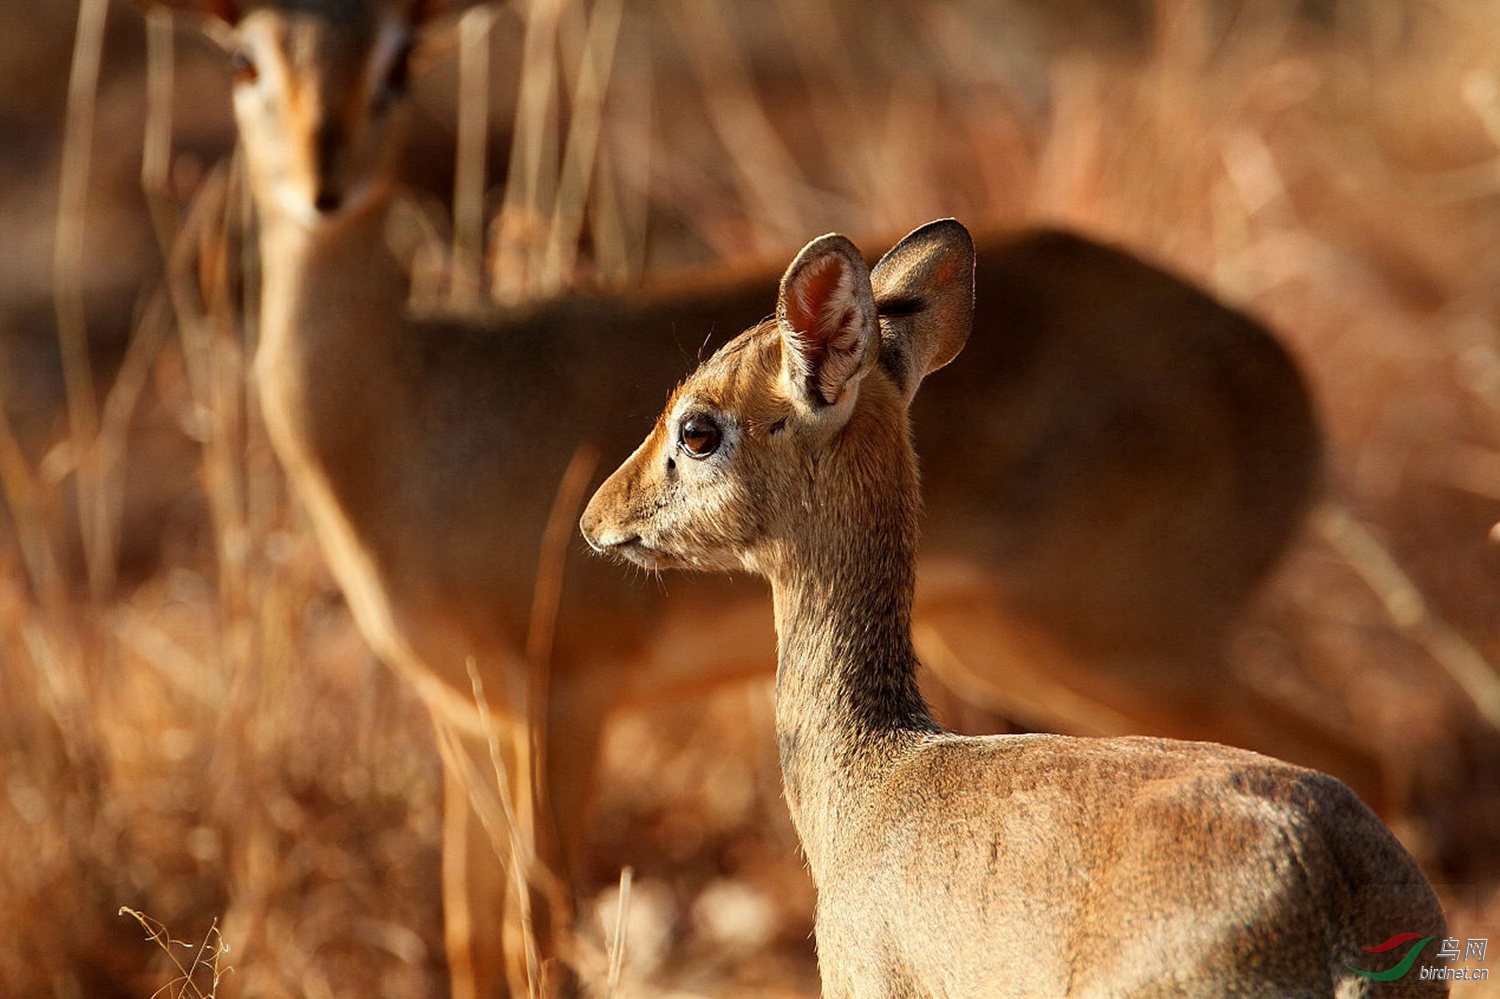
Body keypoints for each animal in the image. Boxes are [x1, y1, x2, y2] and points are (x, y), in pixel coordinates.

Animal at [143, 0, 1338, 990]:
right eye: (246, 56)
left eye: (696, 427)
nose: (594, 519)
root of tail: (1288, 385)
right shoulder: (462, 719)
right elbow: (475, 938)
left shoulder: (564, 702)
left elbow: (536, 936)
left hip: (1118, 646)